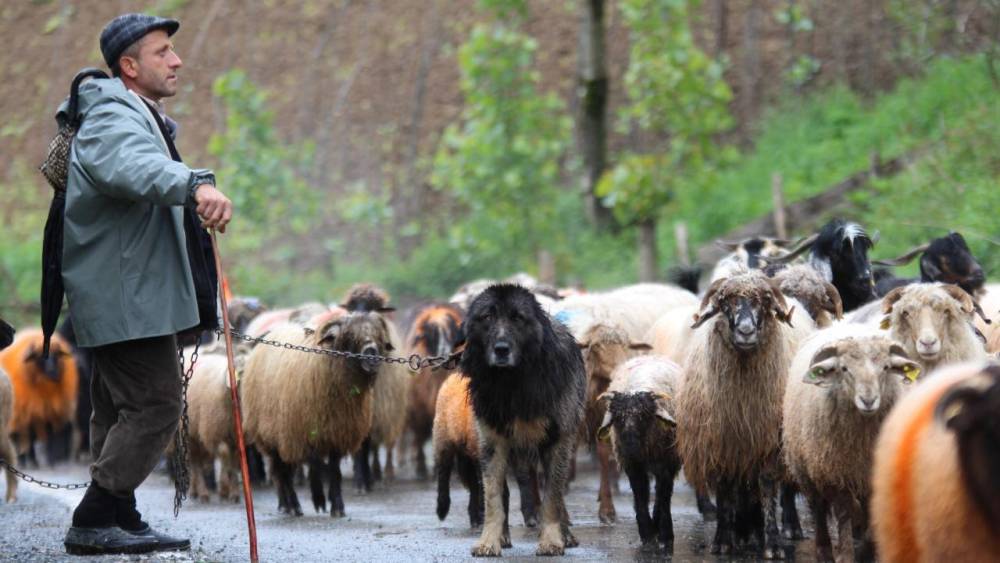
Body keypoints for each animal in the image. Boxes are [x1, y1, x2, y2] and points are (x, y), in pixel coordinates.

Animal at [0, 330, 79, 468]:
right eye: (39, 357)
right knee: (21, 440)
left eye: (57, 356)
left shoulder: (50, 414)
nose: (53, 372)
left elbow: (51, 439)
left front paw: (51, 462)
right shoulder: (26, 416)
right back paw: (25, 461)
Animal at [241, 316, 394, 516]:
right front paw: (319, 498)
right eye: (350, 336)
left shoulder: (337, 434)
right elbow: (316, 465)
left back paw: (287, 504)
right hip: (273, 435)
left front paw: (337, 506)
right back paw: (293, 506)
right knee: (282, 472)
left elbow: (334, 471)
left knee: (283, 471)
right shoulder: (306, 432)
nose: (371, 353)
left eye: (379, 337)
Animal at [596, 360, 684, 552]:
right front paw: (647, 535)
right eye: (617, 419)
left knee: (661, 493)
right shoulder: (632, 465)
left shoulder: (666, 464)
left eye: (644, 416)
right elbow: (640, 495)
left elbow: (663, 496)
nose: (630, 447)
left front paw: (665, 535)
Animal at [676, 274, 816, 560]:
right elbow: (724, 489)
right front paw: (722, 540)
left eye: (763, 302)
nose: (746, 331)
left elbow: (767, 486)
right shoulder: (721, 444)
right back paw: (743, 532)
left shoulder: (769, 441)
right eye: (725, 303)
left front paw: (772, 543)